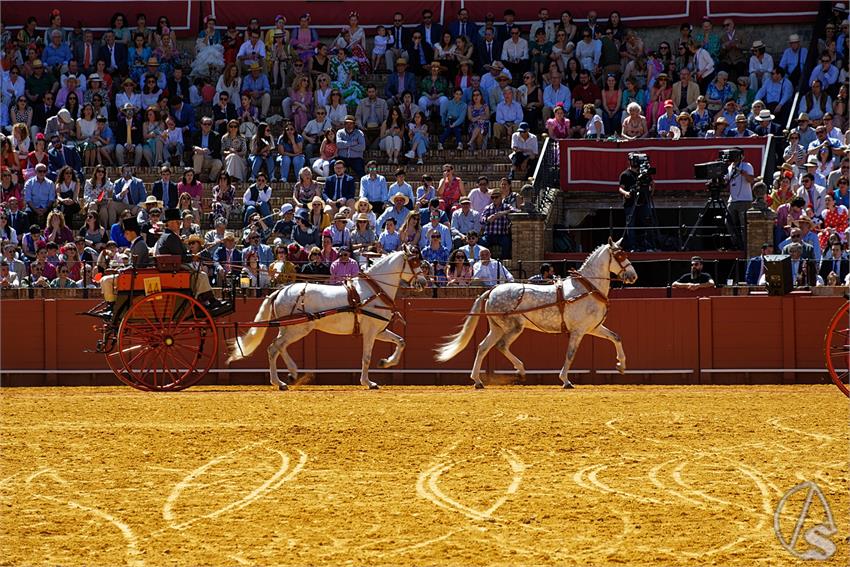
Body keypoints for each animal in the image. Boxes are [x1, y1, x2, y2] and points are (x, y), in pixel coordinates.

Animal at [227, 248, 424, 390]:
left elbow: (401, 341)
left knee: (278, 347)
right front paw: (368, 382)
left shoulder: (379, 331)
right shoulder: (370, 332)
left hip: (290, 328)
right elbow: (366, 357)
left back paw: (291, 373)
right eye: (414, 261)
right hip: (298, 329)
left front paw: (386, 362)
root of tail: (281, 290)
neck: (374, 291)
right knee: (274, 348)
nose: (422, 281)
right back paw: (280, 382)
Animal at [438, 237, 636, 388]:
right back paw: (520, 370)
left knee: (483, 347)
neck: (587, 288)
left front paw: (621, 365)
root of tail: (492, 290)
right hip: (514, 327)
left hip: (497, 328)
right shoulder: (578, 331)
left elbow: (616, 337)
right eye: (620, 255)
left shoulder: (593, 328)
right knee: (501, 345)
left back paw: (478, 381)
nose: (634, 276)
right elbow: (570, 354)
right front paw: (565, 380)